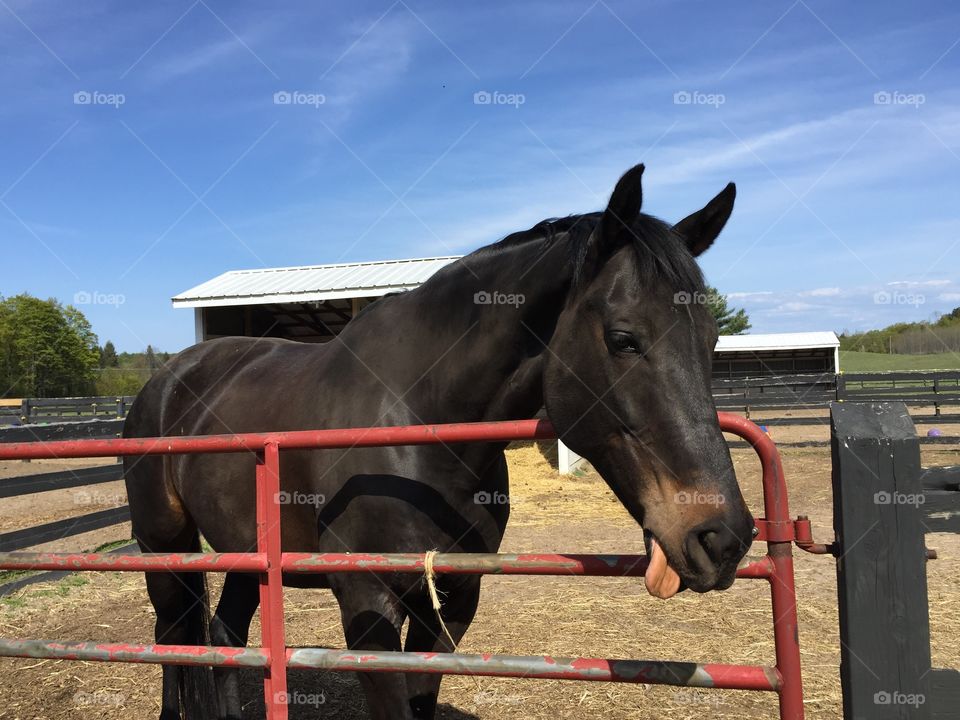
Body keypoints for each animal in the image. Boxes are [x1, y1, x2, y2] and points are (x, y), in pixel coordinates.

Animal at [123, 163, 754, 720]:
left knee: (224, 636)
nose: (723, 537)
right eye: (624, 339)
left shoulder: (450, 599)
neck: (418, 424)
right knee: (171, 638)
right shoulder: (368, 606)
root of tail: (166, 378)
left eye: (711, 339)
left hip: (246, 553)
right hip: (163, 546)